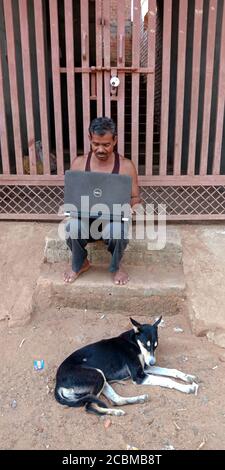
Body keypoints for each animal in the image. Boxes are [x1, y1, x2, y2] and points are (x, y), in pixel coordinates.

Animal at [55, 318, 199, 416]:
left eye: (155, 345)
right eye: (146, 345)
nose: (153, 362)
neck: (134, 342)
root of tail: (58, 383)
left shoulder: (145, 368)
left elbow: (171, 371)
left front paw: (188, 377)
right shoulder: (139, 375)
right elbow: (166, 380)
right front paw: (186, 387)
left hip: (102, 380)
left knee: (115, 400)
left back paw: (134, 401)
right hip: (98, 375)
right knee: (89, 406)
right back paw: (113, 412)